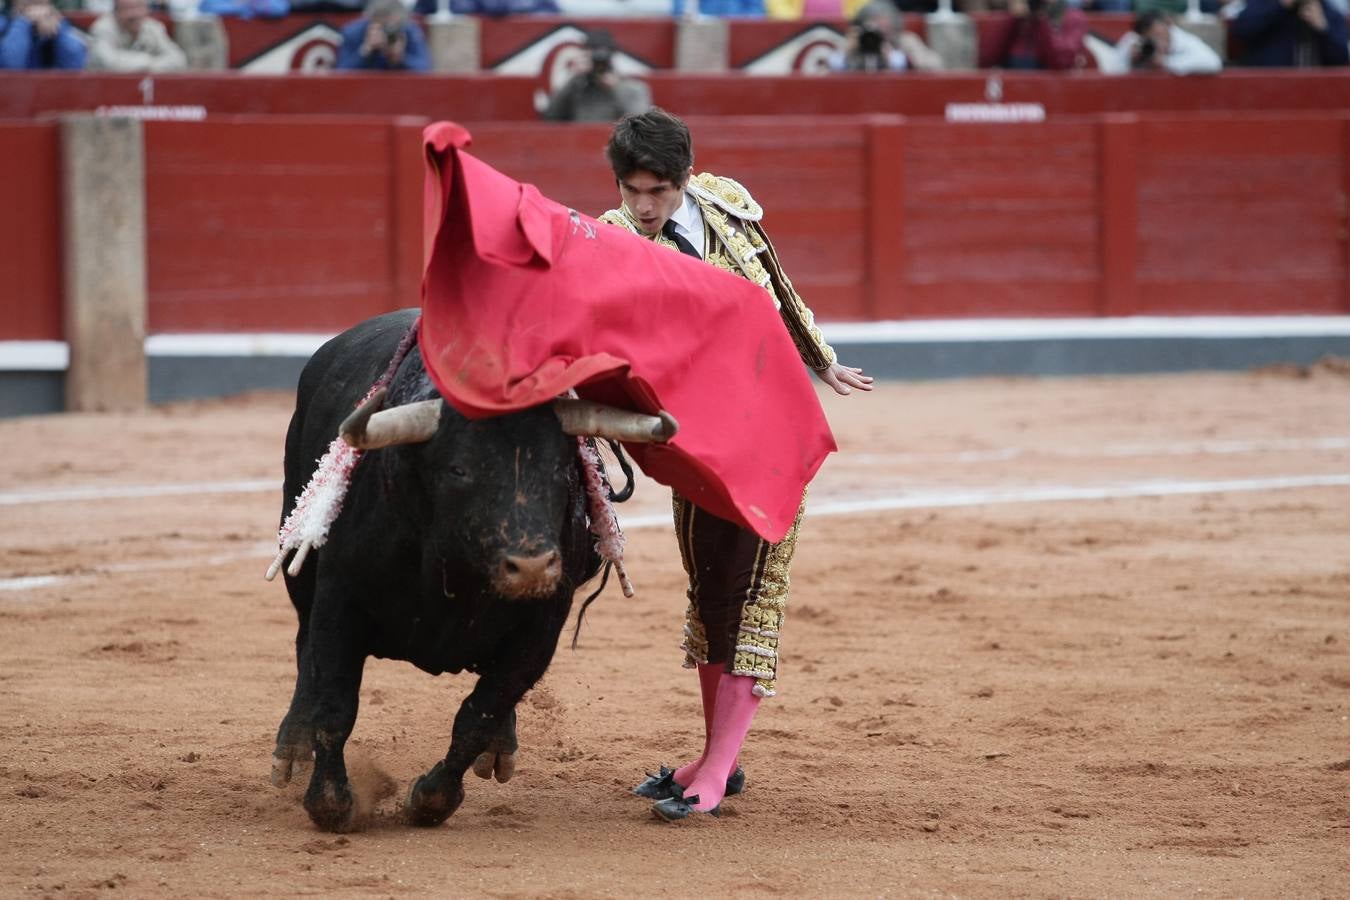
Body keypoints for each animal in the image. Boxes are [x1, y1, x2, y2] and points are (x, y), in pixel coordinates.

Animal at [271, 310, 645, 831]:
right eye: (458, 470)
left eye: (562, 469)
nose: (532, 567)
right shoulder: (338, 600)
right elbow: (335, 702)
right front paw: (331, 803)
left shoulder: (541, 627)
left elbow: (480, 714)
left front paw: (430, 800)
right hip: (299, 566)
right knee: (305, 648)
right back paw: (292, 743)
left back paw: (501, 746)